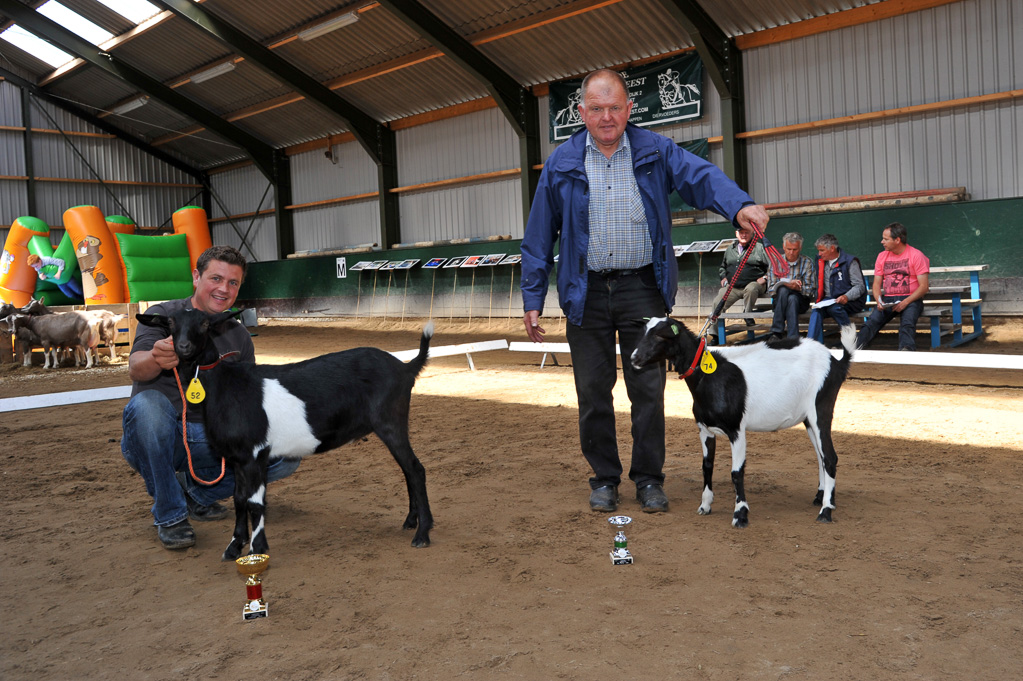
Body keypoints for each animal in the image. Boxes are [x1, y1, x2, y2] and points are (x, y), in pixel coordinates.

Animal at [134, 306, 433, 556]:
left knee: (416, 469)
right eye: (170, 323)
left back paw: (422, 533)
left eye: (206, 323)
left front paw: (257, 549)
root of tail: (406, 367)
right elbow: (239, 499)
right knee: (407, 470)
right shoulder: (237, 458)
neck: (224, 384)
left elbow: (255, 502)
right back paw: (410, 521)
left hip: (391, 421)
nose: (183, 346)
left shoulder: (255, 453)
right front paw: (234, 546)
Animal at [630, 319, 855, 523]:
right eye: (643, 332)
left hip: (821, 409)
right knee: (820, 456)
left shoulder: (736, 429)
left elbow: (737, 472)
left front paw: (740, 514)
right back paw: (822, 498)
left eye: (660, 335)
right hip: (808, 418)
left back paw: (826, 511)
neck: (710, 377)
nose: (633, 358)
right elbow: (707, 466)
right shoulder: (705, 429)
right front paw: (705, 505)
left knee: (830, 457)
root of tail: (837, 362)